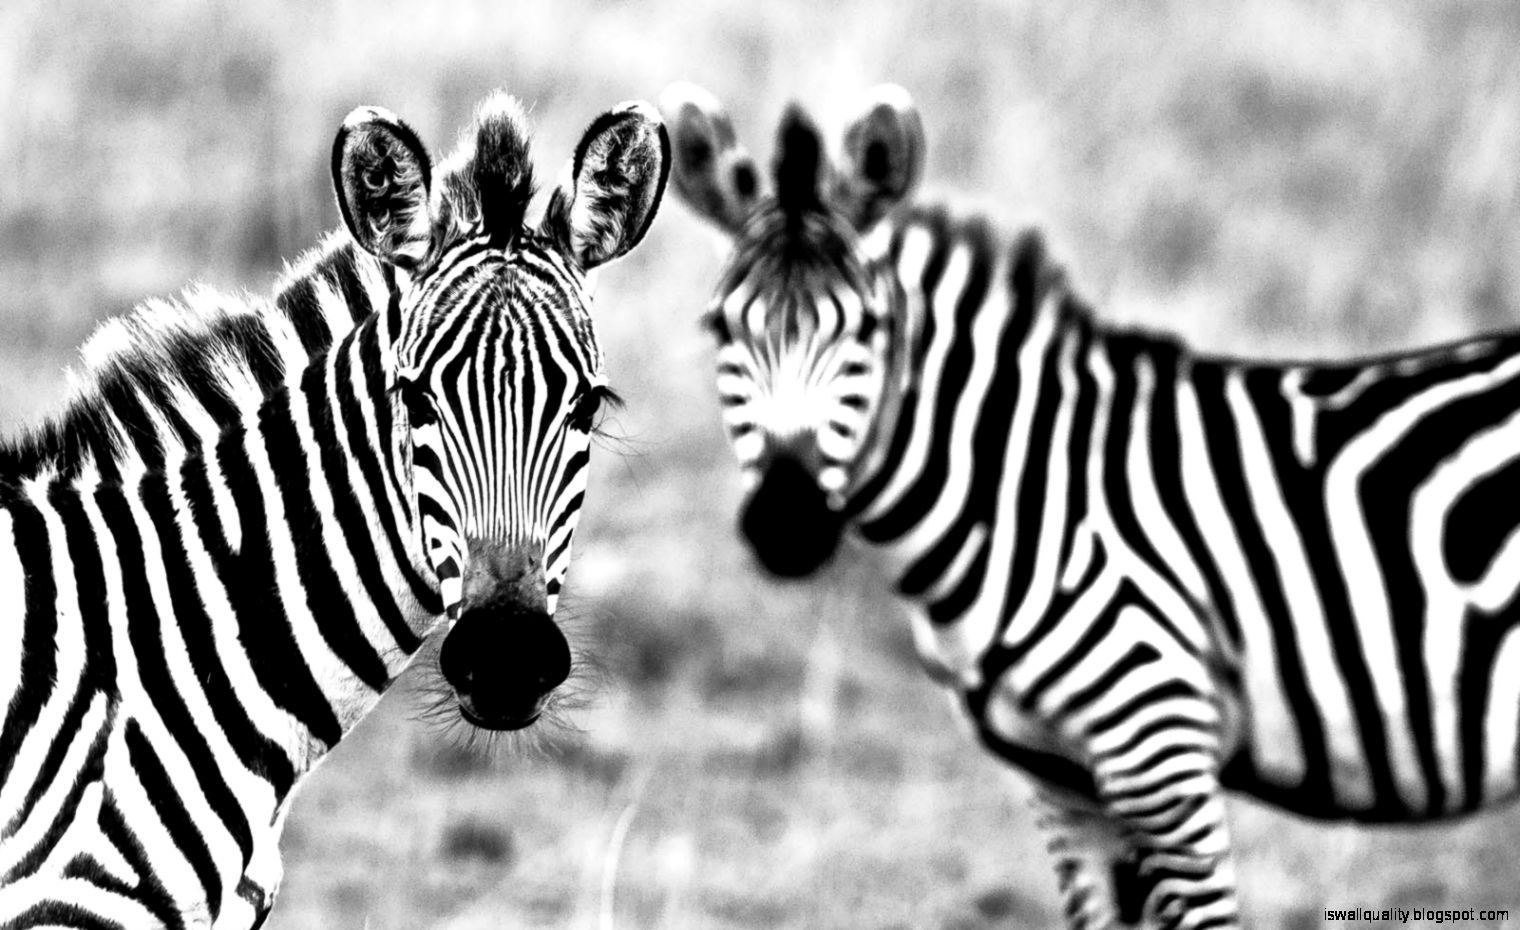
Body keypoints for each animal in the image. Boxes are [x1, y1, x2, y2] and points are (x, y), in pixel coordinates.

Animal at [660, 80, 1520, 929]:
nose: (787, 524)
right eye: (718, 328)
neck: (1023, 492)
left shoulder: (1159, 751)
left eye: (871, 329)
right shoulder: (1063, 784)